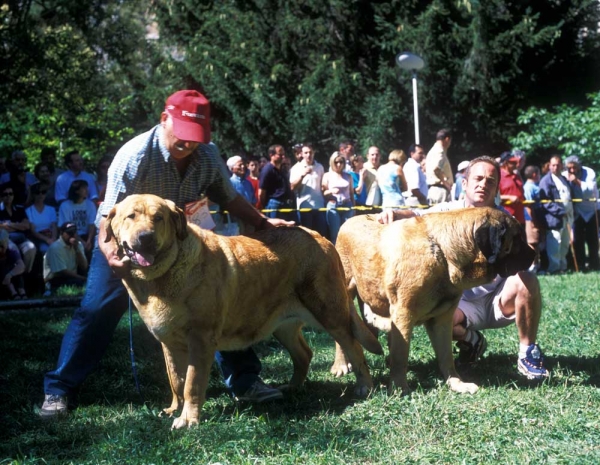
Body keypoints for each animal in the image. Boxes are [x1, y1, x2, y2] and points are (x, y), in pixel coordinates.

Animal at [105, 193, 382, 428]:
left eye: (158, 218)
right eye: (131, 216)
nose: (146, 237)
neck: (161, 276)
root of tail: (321, 236)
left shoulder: (200, 339)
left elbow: (192, 382)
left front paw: (188, 419)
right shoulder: (169, 343)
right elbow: (176, 380)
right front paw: (174, 409)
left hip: (329, 313)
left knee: (353, 346)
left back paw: (364, 387)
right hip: (282, 326)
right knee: (304, 353)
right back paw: (292, 387)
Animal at [332, 208, 536, 394]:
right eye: (518, 238)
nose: (535, 253)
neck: (443, 254)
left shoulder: (442, 319)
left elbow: (446, 357)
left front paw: (456, 383)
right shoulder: (404, 314)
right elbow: (401, 355)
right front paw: (399, 388)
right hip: (344, 293)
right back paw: (341, 366)